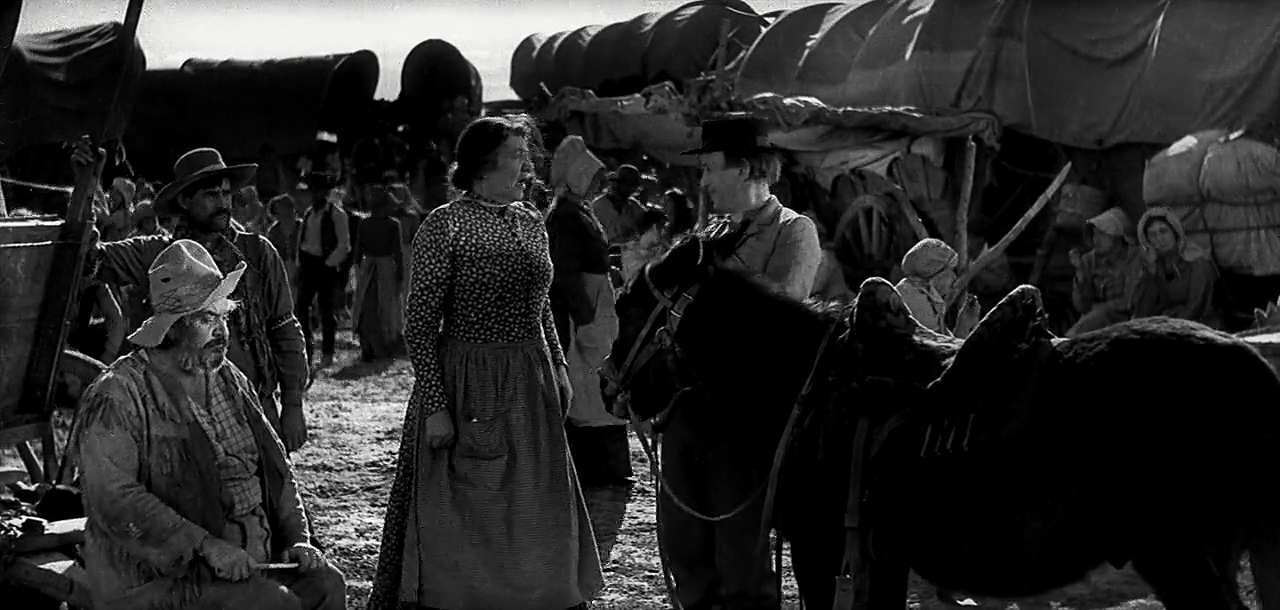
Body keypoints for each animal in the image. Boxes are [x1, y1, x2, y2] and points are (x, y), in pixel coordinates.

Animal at [604, 236, 1280, 608]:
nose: (611, 384)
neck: (805, 379)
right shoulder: (882, 556)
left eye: (626, 301)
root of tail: (1258, 371)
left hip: (1180, 556)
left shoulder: (820, 547)